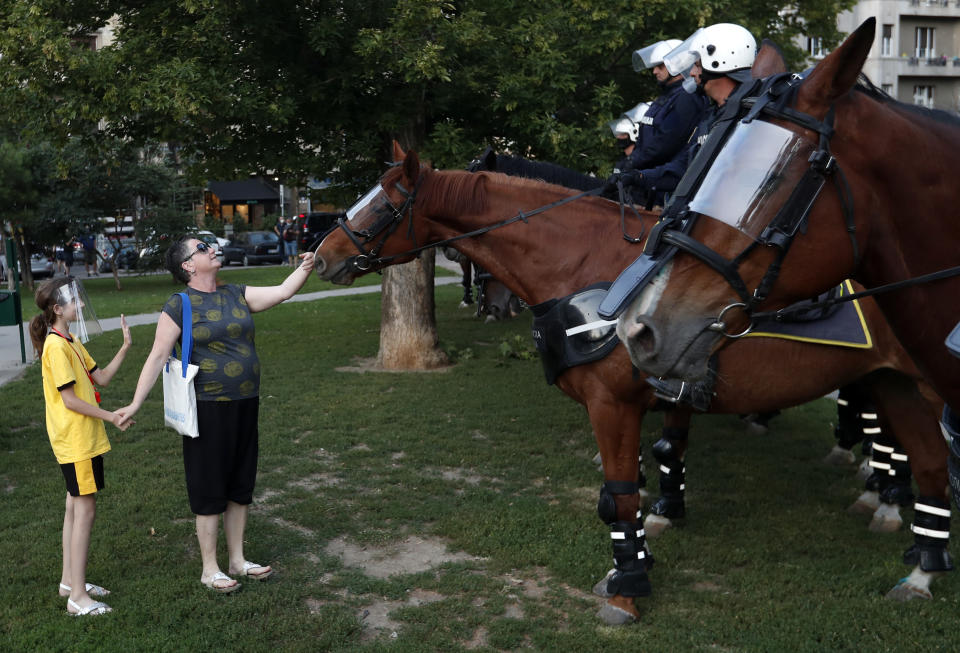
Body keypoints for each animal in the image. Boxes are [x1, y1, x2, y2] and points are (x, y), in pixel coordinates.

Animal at [314, 145, 944, 624]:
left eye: (384, 204)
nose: (321, 256)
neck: (584, 264)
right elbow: (648, 469)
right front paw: (645, 543)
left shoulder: (612, 404)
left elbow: (619, 496)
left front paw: (628, 589)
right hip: (891, 382)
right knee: (929, 463)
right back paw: (914, 556)